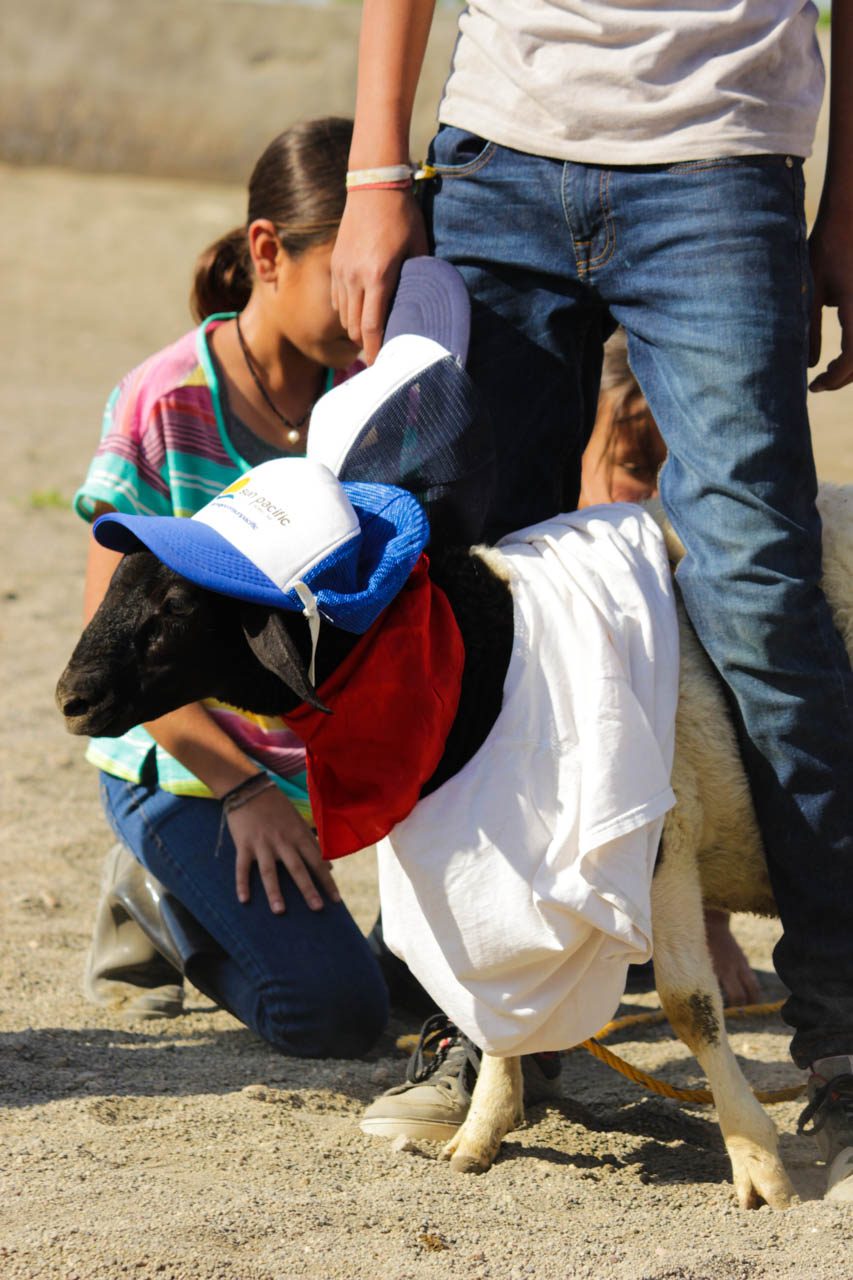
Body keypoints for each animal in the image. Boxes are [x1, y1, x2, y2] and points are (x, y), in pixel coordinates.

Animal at [56, 482, 853, 1210]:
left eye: (178, 605)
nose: (71, 699)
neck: (484, 654)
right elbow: (494, 995)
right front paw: (479, 1134)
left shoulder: (663, 843)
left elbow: (689, 1006)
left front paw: (757, 1164)